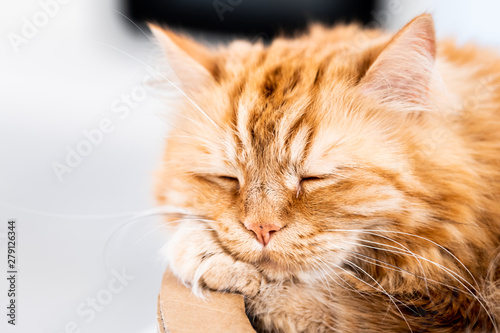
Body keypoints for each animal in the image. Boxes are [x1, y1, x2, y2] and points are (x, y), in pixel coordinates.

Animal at [150, 14, 498, 330]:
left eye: (314, 178)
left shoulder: (433, 315)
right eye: (228, 178)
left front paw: (201, 251)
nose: (261, 229)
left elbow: (311, 293)